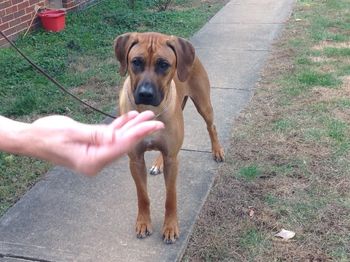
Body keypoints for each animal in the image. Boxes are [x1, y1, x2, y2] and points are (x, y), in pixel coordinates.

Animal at [115, 32, 224, 244]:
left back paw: (217, 150)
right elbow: (142, 195)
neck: (148, 111)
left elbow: (170, 197)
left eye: (163, 64)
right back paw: (158, 163)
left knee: (211, 126)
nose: (145, 94)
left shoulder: (173, 161)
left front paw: (171, 227)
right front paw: (143, 223)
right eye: (136, 62)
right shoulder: (135, 160)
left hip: (203, 104)